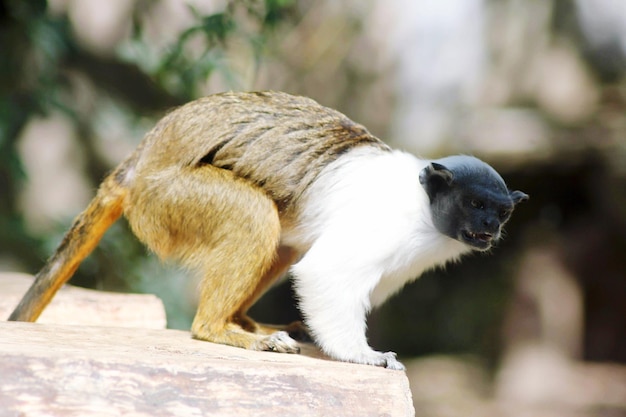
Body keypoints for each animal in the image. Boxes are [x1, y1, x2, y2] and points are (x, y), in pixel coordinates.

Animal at [9, 90, 528, 368]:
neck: (423, 205)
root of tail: (142, 161)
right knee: (257, 216)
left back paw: (244, 321)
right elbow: (326, 274)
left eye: (500, 213)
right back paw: (217, 327)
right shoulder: (385, 224)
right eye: (476, 204)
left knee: (279, 240)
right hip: (165, 201)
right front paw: (362, 355)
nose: (487, 227)